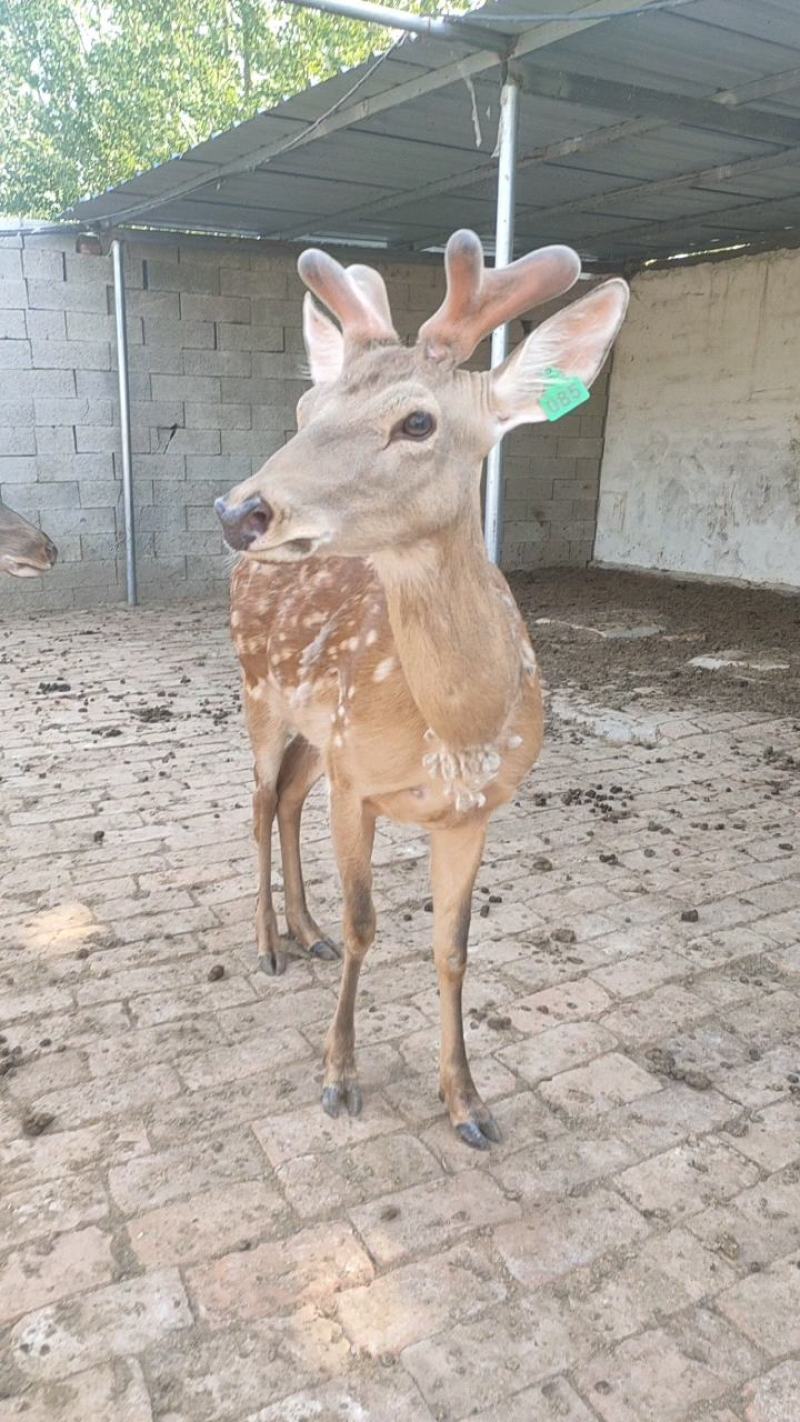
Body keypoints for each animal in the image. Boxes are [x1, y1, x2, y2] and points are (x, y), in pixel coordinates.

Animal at [215, 230, 628, 1148]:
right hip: (260, 693)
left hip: (315, 730)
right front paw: (338, 1078)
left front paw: (467, 1102)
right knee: (259, 804)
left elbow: (453, 947)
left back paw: (304, 933)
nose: (240, 510)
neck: (459, 727)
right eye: (306, 410)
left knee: (287, 799)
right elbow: (367, 925)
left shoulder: (474, 810)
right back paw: (268, 944)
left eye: (417, 421)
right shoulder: (358, 784)